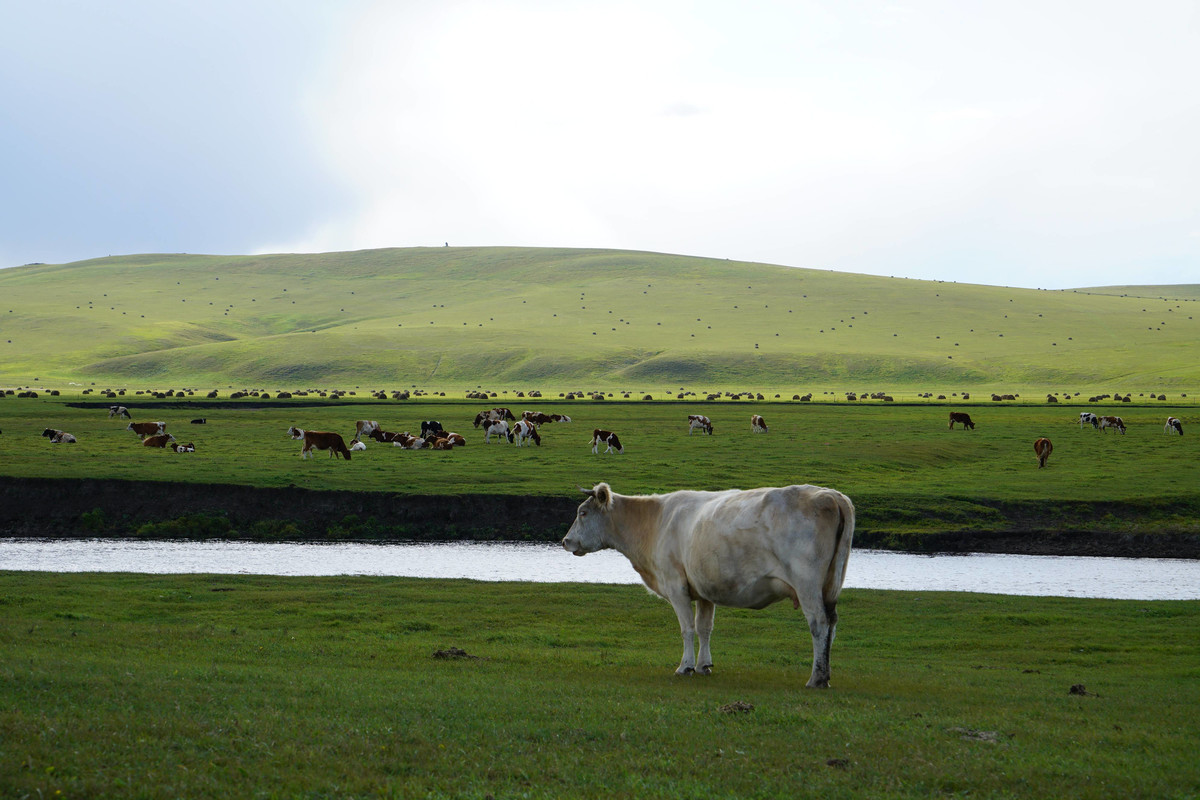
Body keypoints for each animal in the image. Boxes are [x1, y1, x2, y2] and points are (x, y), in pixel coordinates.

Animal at [561, 482, 854, 690]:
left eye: (582, 513)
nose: (565, 541)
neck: (654, 523)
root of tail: (831, 495)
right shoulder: (703, 589)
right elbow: (705, 628)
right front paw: (704, 666)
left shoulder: (675, 585)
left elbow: (687, 628)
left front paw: (685, 667)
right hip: (831, 585)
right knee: (832, 624)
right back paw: (826, 675)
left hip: (807, 583)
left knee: (819, 623)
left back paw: (816, 678)